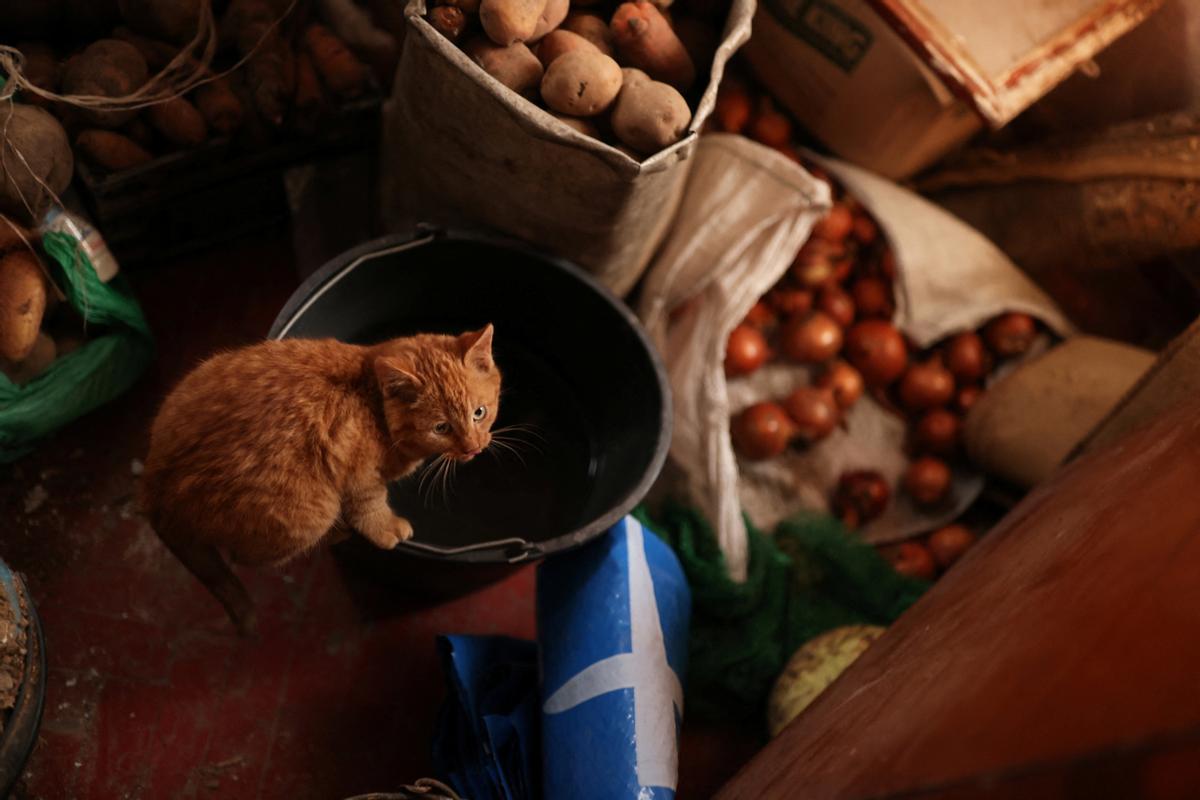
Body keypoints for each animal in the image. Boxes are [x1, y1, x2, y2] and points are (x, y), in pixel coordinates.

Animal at [142, 323, 499, 633]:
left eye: (479, 413)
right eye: (441, 428)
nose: (474, 447)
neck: (372, 402)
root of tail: (154, 479)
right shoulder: (360, 477)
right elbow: (371, 507)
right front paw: (387, 530)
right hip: (308, 513)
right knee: (244, 556)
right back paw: (337, 532)